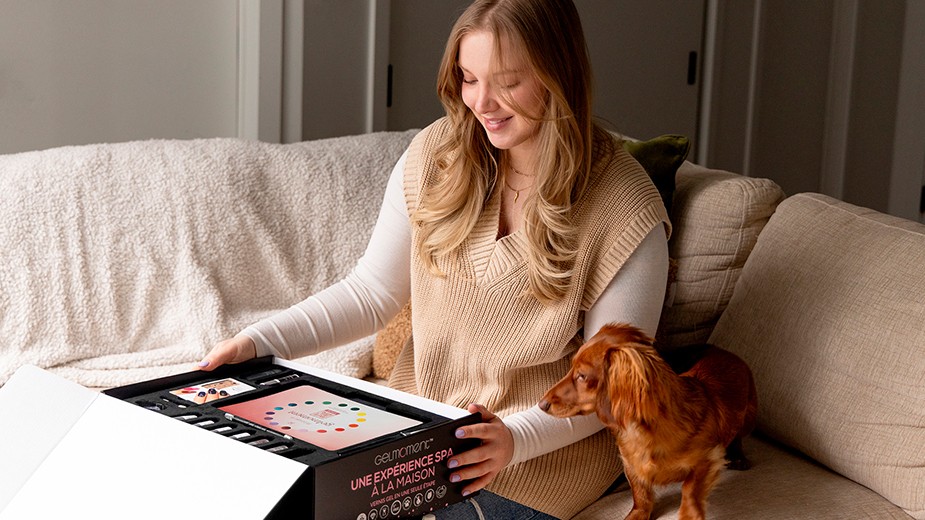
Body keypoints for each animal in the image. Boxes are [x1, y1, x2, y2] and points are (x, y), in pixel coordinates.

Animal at [539, 323, 757, 520]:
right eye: (571, 368)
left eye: (582, 376)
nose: (541, 404)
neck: (642, 432)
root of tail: (725, 352)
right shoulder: (631, 466)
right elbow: (641, 496)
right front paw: (637, 514)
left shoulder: (710, 457)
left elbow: (689, 488)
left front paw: (689, 514)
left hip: (748, 418)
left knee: (738, 437)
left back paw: (739, 457)